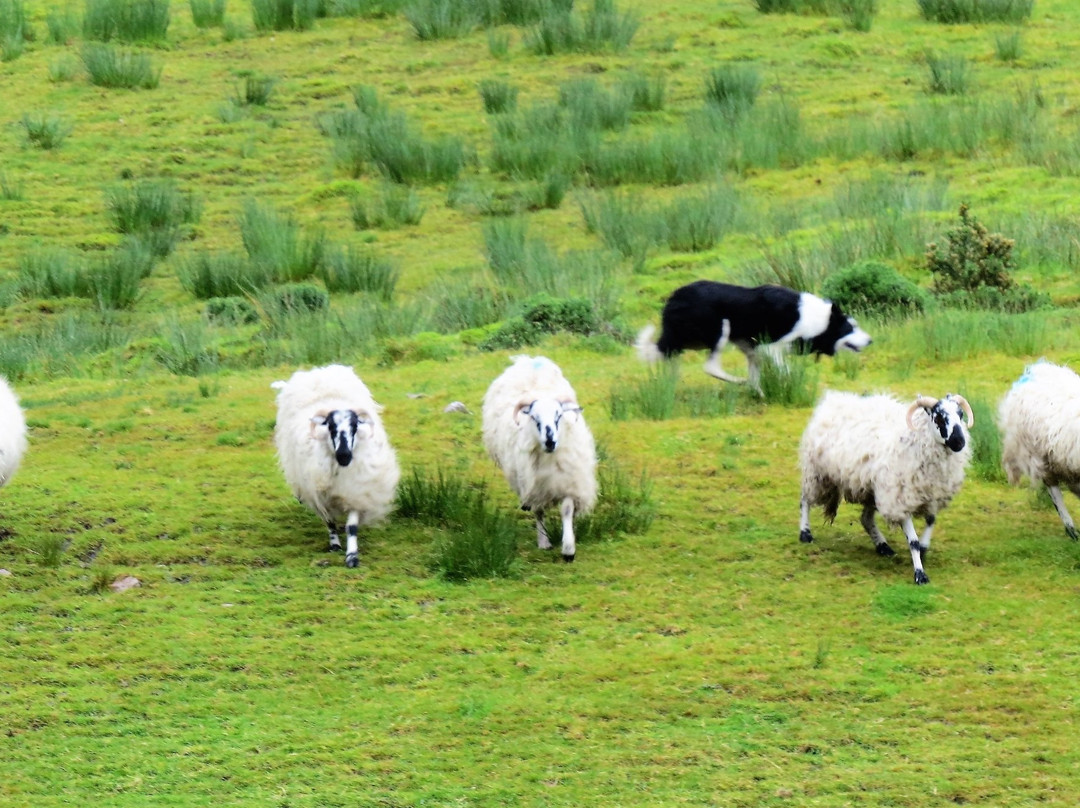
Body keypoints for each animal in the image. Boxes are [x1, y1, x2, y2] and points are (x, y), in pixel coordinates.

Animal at [272, 364, 400, 568]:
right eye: (330, 427)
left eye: (355, 426)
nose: (344, 455)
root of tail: (318, 372)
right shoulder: (319, 494)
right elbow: (329, 521)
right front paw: (335, 545)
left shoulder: (356, 490)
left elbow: (352, 526)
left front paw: (352, 556)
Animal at [482, 355, 597, 562]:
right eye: (534, 418)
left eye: (559, 416)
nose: (550, 441)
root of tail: (529, 360)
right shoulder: (535, 485)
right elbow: (539, 511)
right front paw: (544, 541)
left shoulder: (568, 481)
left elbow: (567, 510)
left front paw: (569, 548)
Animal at [798, 390, 974, 585]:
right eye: (939, 417)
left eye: (960, 414)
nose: (959, 442)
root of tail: (833, 399)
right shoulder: (899, 499)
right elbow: (913, 541)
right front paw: (920, 574)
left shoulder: (932, 495)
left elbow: (930, 522)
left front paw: (924, 549)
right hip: (817, 473)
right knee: (805, 500)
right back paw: (805, 533)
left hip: (871, 490)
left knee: (866, 519)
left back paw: (883, 546)